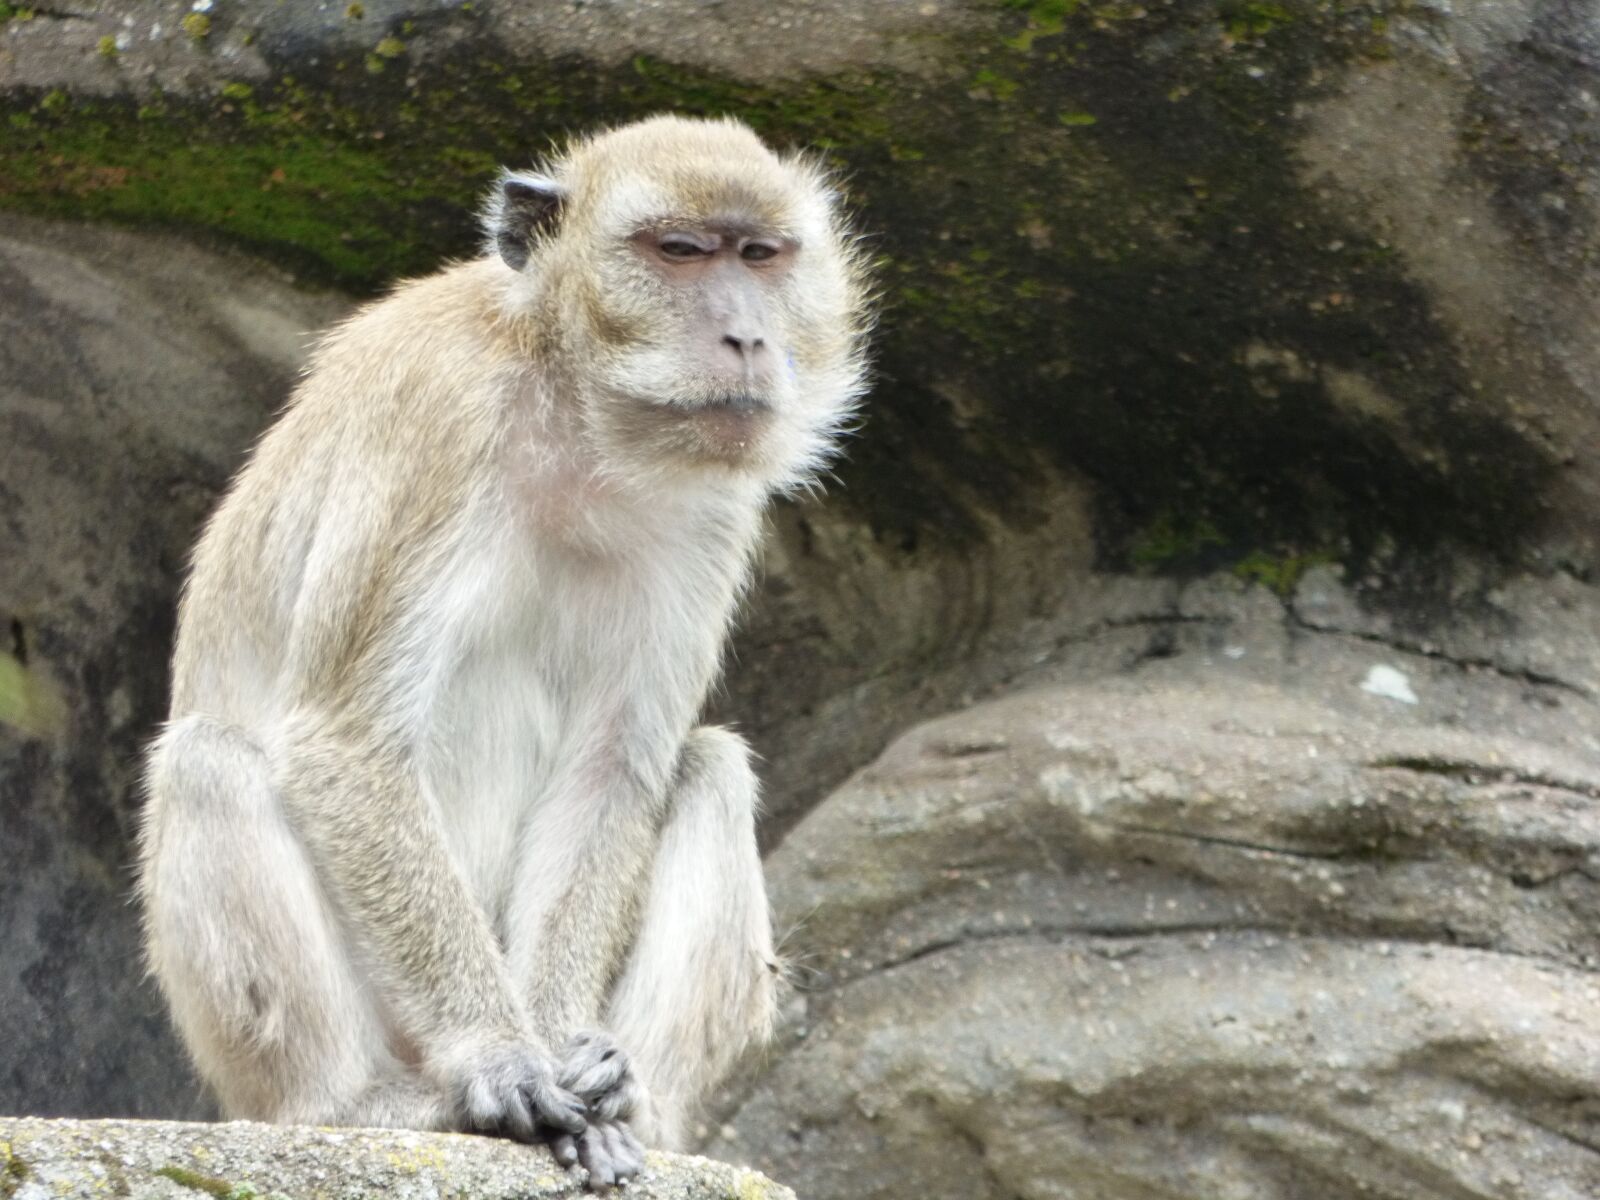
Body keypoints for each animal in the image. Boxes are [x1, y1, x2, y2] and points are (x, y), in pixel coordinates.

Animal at [136, 114, 871, 1189]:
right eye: (680, 251)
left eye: (760, 256)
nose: (747, 335)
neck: (571, 411)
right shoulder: (441, 423)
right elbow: (347, 742)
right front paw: (503, 1058)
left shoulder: (711, 508)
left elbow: (614, 766)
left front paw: (569, 1048)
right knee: (208, 762)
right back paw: (364, 1105)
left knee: (709, 768)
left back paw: (638, 1105)